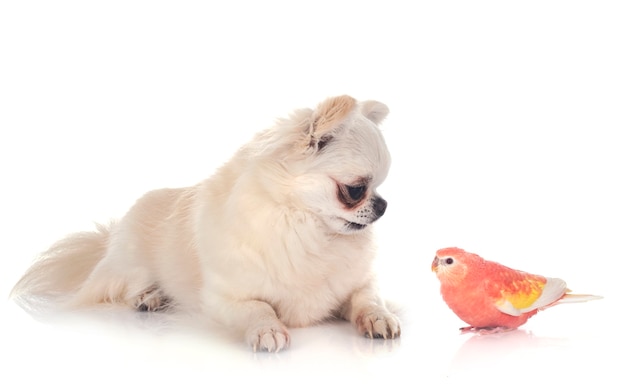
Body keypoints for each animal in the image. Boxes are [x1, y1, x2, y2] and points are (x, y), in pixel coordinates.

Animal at [12, 94, 400, 352]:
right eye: (355, 190)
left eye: (380, 187)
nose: (383, 205)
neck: (308, 230)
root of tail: (110, 237)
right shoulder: (225, 300)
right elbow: (259, 307)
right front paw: (267, 329)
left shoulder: (357, 284)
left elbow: (368, 298)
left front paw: (378, 317)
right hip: (130, 264)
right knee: (125, 286)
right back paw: (149, 297)